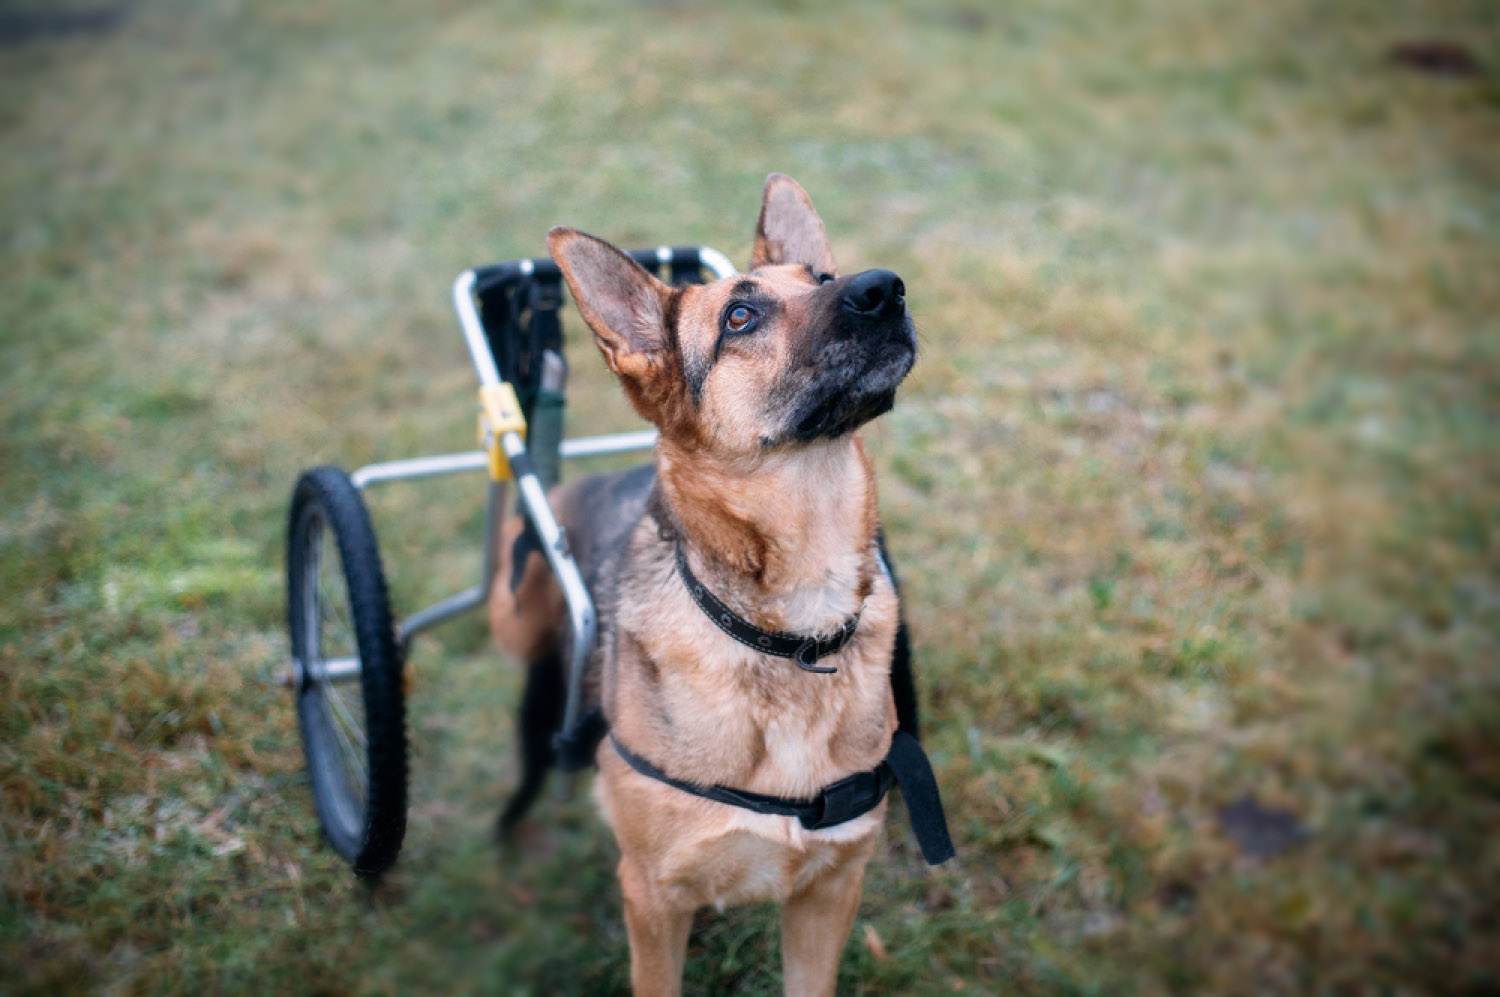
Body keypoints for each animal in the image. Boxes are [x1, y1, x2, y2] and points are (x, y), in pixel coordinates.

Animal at [486, 174, 942, 989]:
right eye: (740, 317)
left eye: (821, 278)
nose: (884, 287)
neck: (793, 635)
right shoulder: (653, 897)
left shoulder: (830, 891)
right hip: (510, 606)